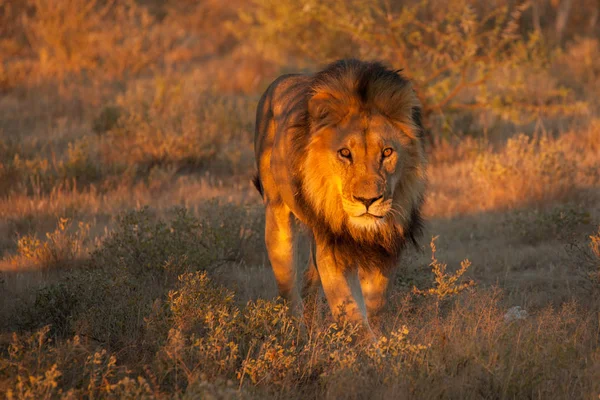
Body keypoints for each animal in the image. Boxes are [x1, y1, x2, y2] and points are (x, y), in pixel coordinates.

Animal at [253, 57, 426, 336]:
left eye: (387, 152)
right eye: (345, 153)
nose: (368, 201)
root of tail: (281, 80)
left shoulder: (384, 246)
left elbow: (375, 304)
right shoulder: (333, 250)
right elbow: (352, 314)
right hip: (277, 217)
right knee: (288, 288)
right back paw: (298, 335)